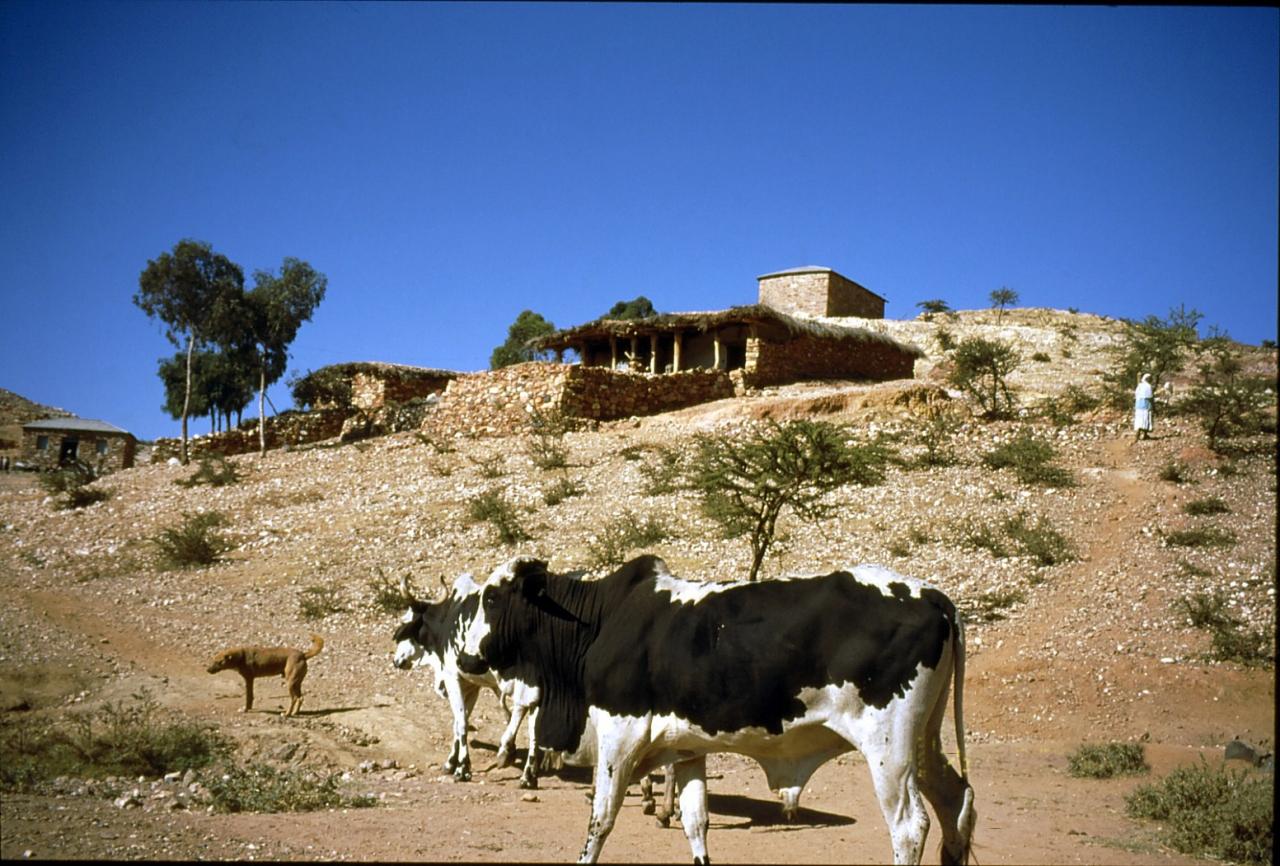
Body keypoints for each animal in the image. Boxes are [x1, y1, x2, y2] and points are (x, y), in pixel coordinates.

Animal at [458, 555, 967, 864]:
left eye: (492, 597)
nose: (463, 658)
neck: (602, 622)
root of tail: (932, 595)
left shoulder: (618, 738)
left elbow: (600, 821)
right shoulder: (686, 751)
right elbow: (695, 823)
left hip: (889, 749)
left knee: (909, 826)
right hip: (924, 742)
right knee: (957, 802)